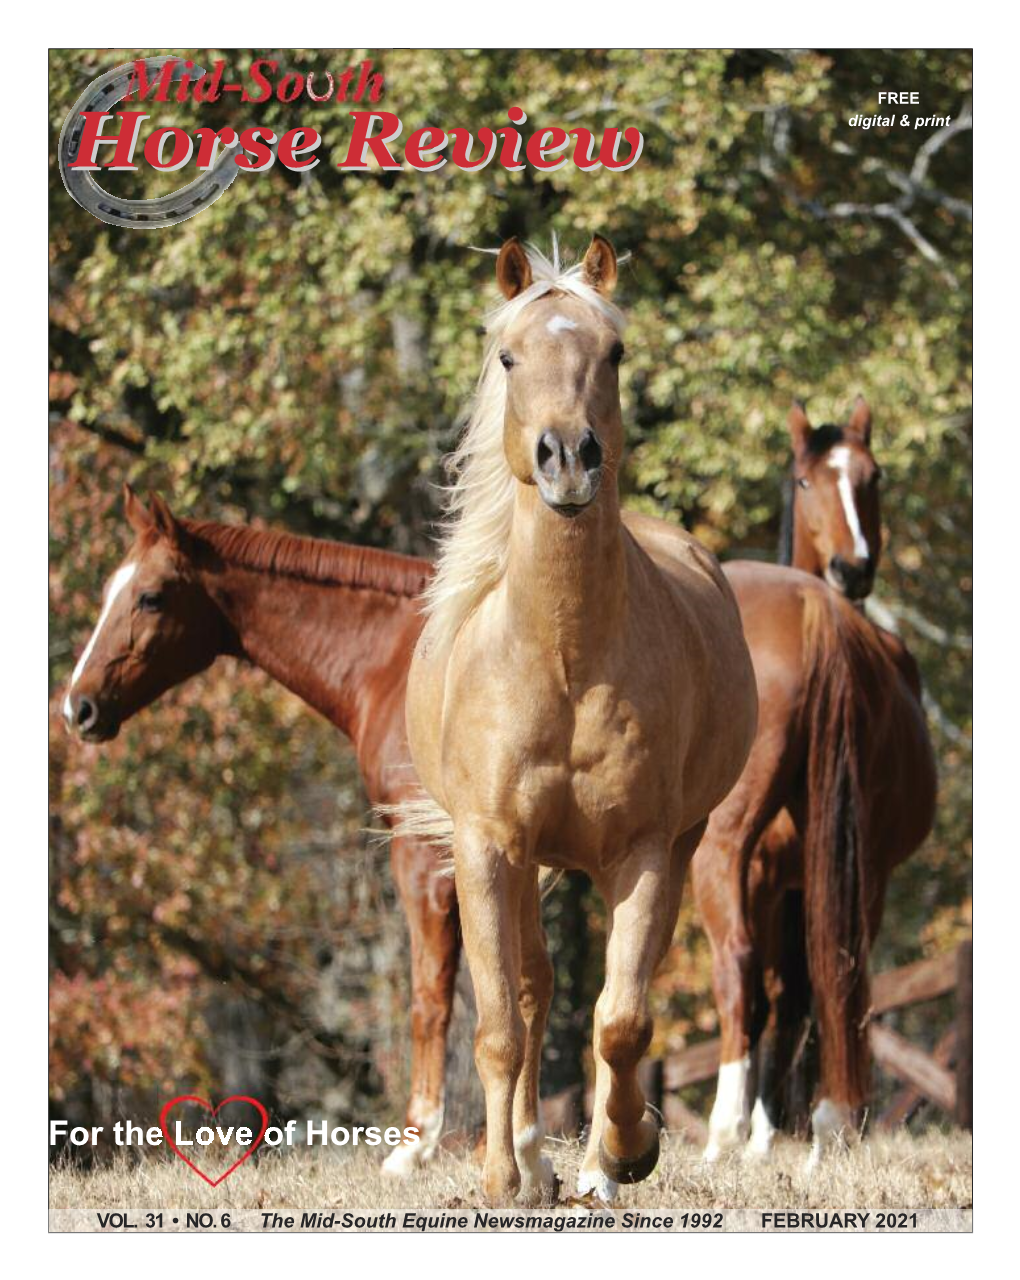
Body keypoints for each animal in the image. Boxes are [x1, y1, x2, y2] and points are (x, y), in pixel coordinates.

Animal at [58, 483, 450, 1172]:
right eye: (108, 589)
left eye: (150, 596)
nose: (78, 707)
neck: (400, 659)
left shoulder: (425, 856)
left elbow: (433, 995)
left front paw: (416, 1146)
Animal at [396, 235, 757, 1203]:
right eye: (509, 357)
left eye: (615, 351)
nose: (567, 458)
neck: (561, 658)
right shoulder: (487, 846)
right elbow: (501, 1020)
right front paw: (500, 1177)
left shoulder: (643, 850)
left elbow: (623, 1020)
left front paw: (627, 1151)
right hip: (524, 862)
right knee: (527, 991)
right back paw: (527, 1162)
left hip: (671, 847)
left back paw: (590, 1165)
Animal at [691, 399, 936, 1172]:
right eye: (807, 481)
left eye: (872, 476)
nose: (852, 567)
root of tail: (816, 614)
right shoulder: (805, 877)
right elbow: (801, 992)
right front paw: (778, 1128)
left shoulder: (765, 876)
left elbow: (768, 990)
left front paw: (755, 1129)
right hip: (864, 871)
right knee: (840, 971)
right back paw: (829, 1117)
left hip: (725, 854)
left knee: (740, 969)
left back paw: (724, 1131)